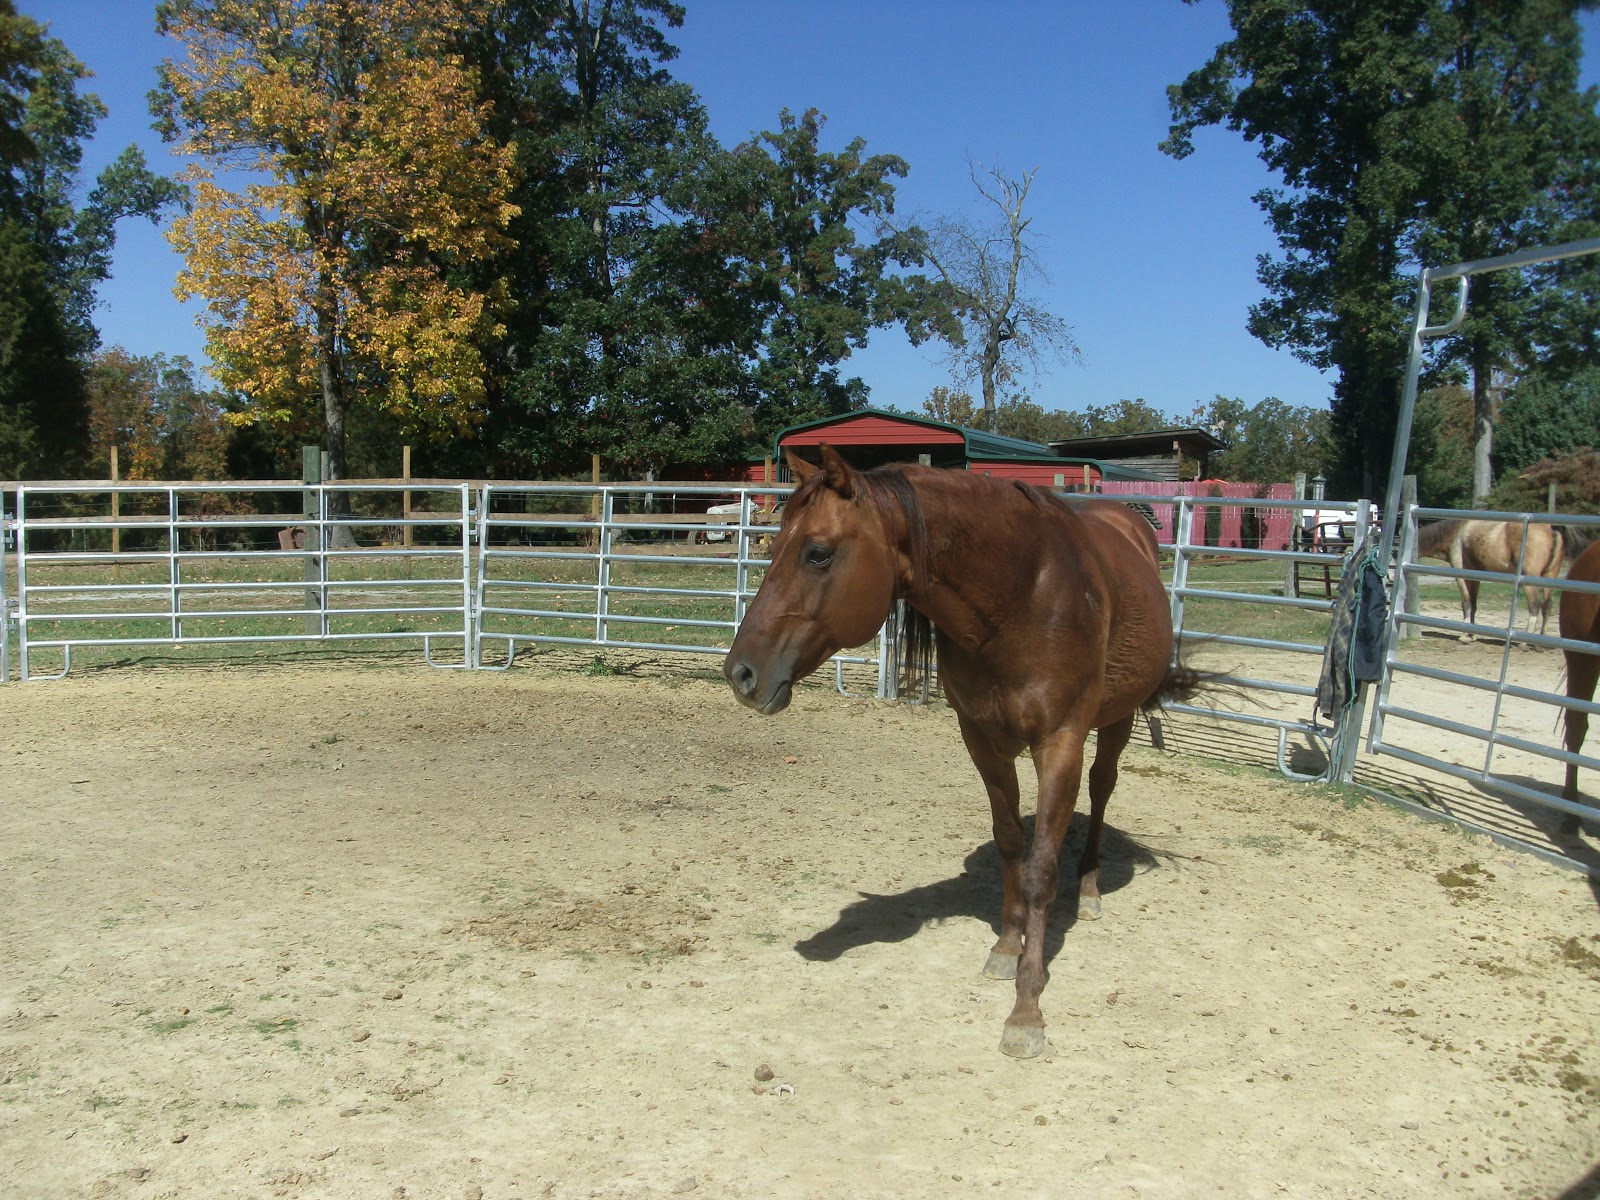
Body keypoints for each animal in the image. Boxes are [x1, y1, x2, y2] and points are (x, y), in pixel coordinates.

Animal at [722, 446, 1200, 1059]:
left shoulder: (1059, 742)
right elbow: (1011, 846)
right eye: (774, 543)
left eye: (818, 553)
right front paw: (1007, 947)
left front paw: (1027, 1008)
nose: (740, 673)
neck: (1021, 596)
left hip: (1116, 718)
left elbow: (1042, 869)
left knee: (1101, 788)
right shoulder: (979, 738)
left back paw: (1091, 888)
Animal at [1414, 518, 1565, 636]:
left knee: (1534, 605)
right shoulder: (1475, 576)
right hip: (1549, 577)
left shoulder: (1460, 572)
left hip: (1529, 581)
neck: (1456, 533)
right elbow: (1473, 604)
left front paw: (1464, 635)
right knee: (1547, 605)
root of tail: (1551, 530)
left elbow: (1466, 602)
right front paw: (1471, 635)